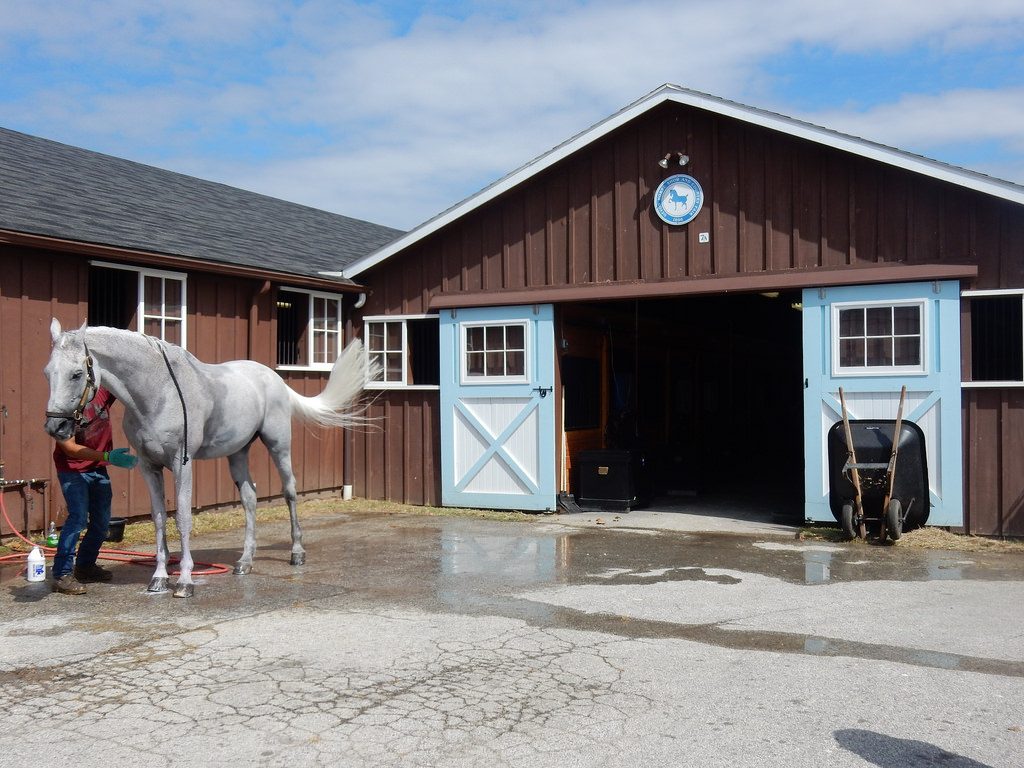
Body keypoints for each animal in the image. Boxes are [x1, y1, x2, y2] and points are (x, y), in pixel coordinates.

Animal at [44, 321, 374, 598]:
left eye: (76, 374)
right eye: (48, 372)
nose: (55, 427)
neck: (158, 392)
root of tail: (274, 377)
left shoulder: (183, 464)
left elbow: (183, 518)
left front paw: (184, 582)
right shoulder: (149, 467)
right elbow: (159, 519)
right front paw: (159, 578)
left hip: (278, 445)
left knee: (290, 492)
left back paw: (296, 553)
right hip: (238, 452)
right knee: (250, 498)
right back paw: (245, 562)